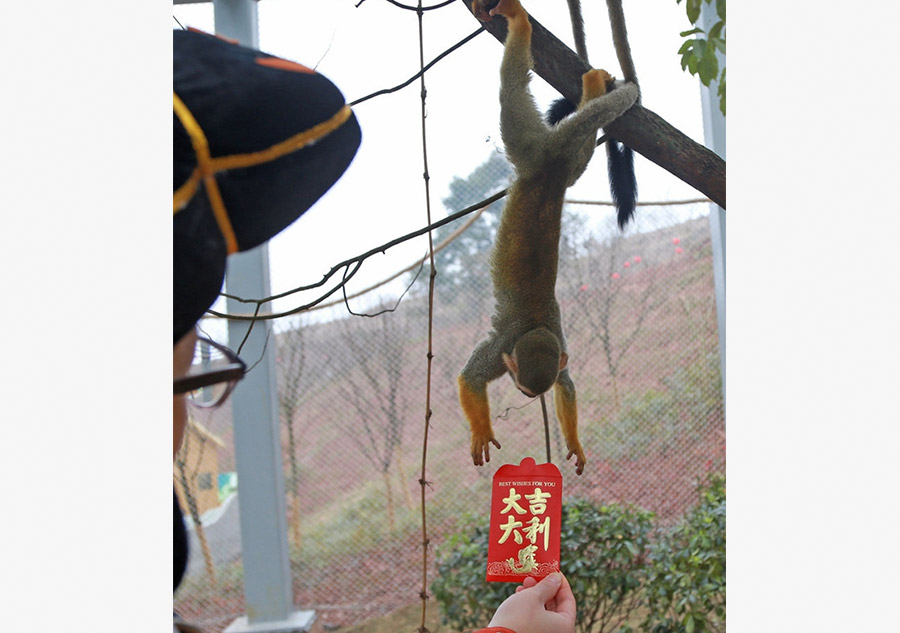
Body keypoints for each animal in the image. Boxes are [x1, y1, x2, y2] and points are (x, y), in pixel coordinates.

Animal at [460, 0, 639, 475]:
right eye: (523, 392)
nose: (523, 396)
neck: (537, 326)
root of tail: (550, 167)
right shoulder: (501, 347)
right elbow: (470, 376)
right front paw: (482, 431)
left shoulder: (558, 343)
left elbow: (567, 383)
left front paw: (573, 441)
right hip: (529, 146)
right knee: (512, 89)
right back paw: (523, 28)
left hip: (560, 157)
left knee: (575, 137)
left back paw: (589, 86)